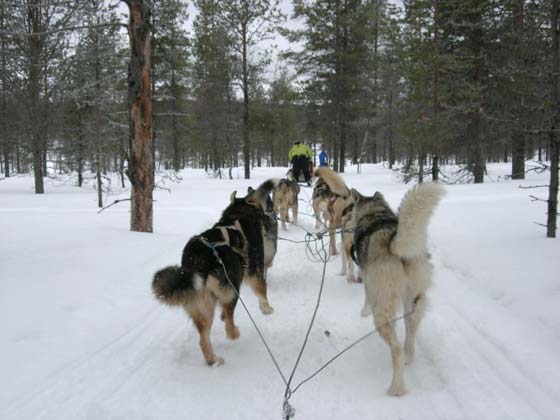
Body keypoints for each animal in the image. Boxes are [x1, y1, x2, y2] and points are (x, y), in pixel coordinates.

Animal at [152, 182, 276, 366]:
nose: (270, 216)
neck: (238, 213)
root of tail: (197, 261)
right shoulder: (255, 270)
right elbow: (262, 291)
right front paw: (267, 309)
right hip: (231, 289)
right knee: (229, 324)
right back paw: (234, 333)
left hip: (202, 306)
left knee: (203, 339)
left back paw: (213, 360)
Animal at [350, 182, 446, 396]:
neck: (375, 214)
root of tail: (393, 241)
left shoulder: (368, 280)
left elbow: (366, 299)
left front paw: (363, 311)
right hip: (414, 303)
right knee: (409, 337)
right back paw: (408, 358)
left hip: (383, 311)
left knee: (396, 349)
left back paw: (396, 388)